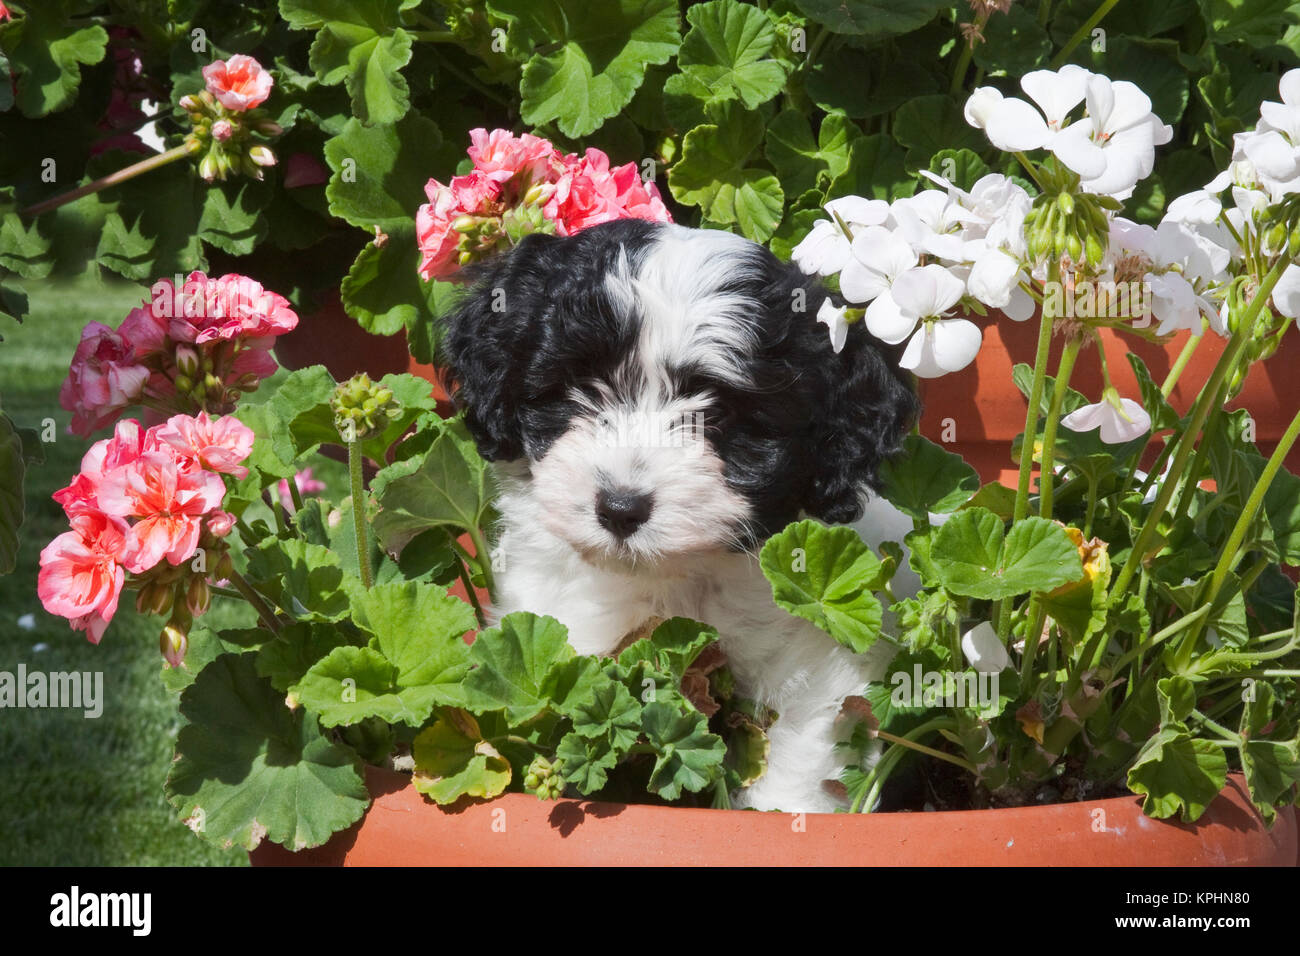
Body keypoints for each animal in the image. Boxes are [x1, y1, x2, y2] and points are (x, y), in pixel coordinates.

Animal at [441, 221, 920, 811]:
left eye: (720, 413)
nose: (621, 507)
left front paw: (787, 812)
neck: (667, 580)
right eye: (577, 387)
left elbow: (800, 752)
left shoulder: (817, 665)